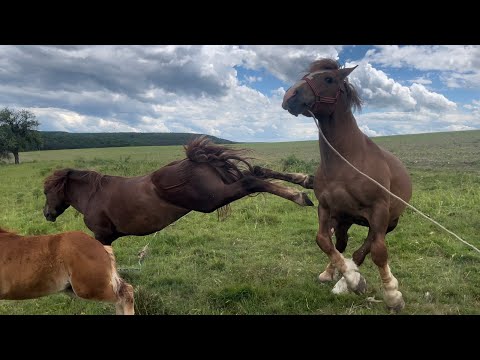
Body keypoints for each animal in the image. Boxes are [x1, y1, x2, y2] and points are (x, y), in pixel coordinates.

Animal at [44, 136, 316, 246]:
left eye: (46, 191)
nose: (46, 214)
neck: (93, 195)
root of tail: (194, 159)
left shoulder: (102, 235)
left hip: (211, 200)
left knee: (252, 181)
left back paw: (300, 196)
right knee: (258, 171)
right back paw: (305, 181)